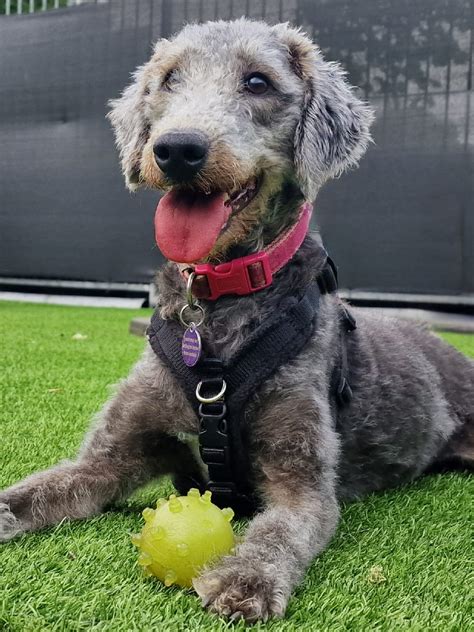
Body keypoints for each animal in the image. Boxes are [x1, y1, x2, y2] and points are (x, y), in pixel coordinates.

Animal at [0, 18, 474, 624]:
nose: (177, 148)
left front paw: (244, 579)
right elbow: (38, 489)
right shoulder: (107, 457)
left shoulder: (303, 484)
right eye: (168, 79)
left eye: (257, 82)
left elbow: (279, 532)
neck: (216, 307)